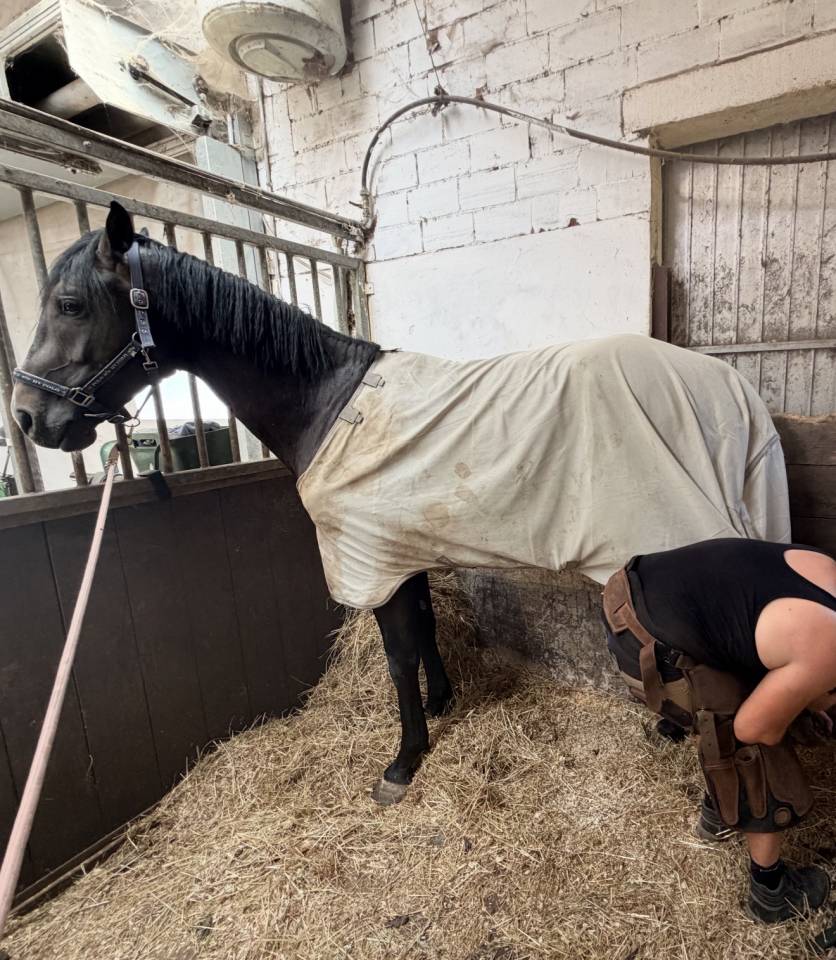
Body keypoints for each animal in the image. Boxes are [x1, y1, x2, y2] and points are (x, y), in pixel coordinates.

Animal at [12, 201, 791, 805]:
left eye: (71, 305)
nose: (27, 419)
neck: (326, 400)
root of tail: (733, 393)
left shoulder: (369, 558)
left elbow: (397, 656)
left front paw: (403, 762)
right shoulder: (398, 552)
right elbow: (424, 633)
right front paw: (444, 704)